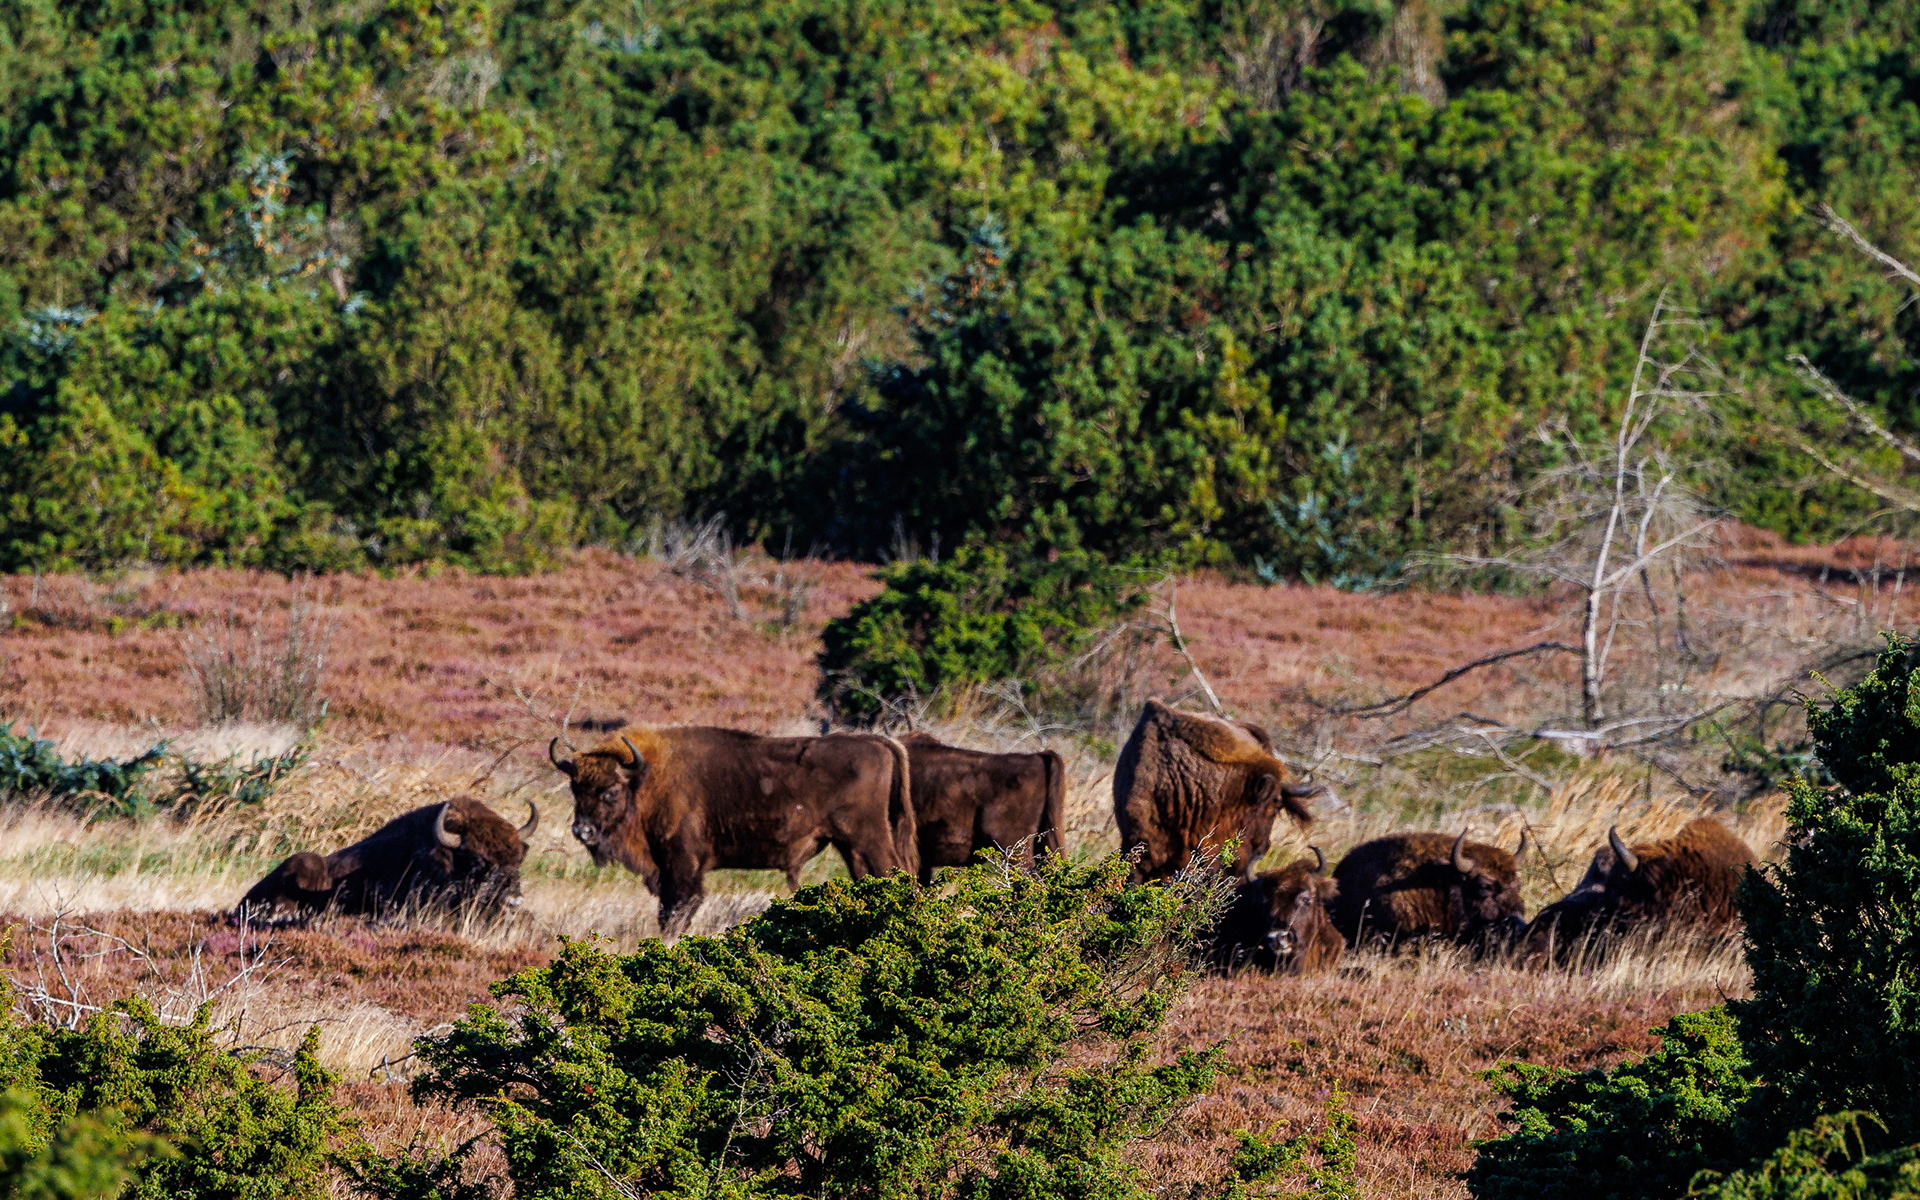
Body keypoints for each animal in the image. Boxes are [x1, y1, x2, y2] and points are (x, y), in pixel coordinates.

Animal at [551, 728, 916, 934]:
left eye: (611, 790)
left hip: (868, 838)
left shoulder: (681, 866)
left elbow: (676, 912)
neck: (647, 778)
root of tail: (878, 742)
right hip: (849, 845)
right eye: (575, 787)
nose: (582, 830)